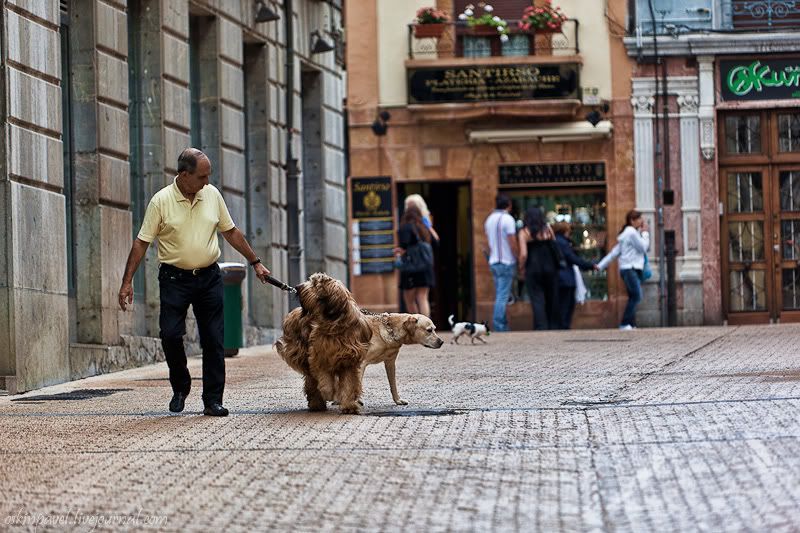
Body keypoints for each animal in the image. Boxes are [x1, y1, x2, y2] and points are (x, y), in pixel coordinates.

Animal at [274, 272, 374, 414]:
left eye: (315, 284)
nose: (297, 287)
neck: (335, 323)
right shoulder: (319, 355)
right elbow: (324, 377)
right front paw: (328, 392)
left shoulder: (350, 360)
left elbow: (348, 383)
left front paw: (349, 405)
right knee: (311, 381)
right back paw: (317, 403)